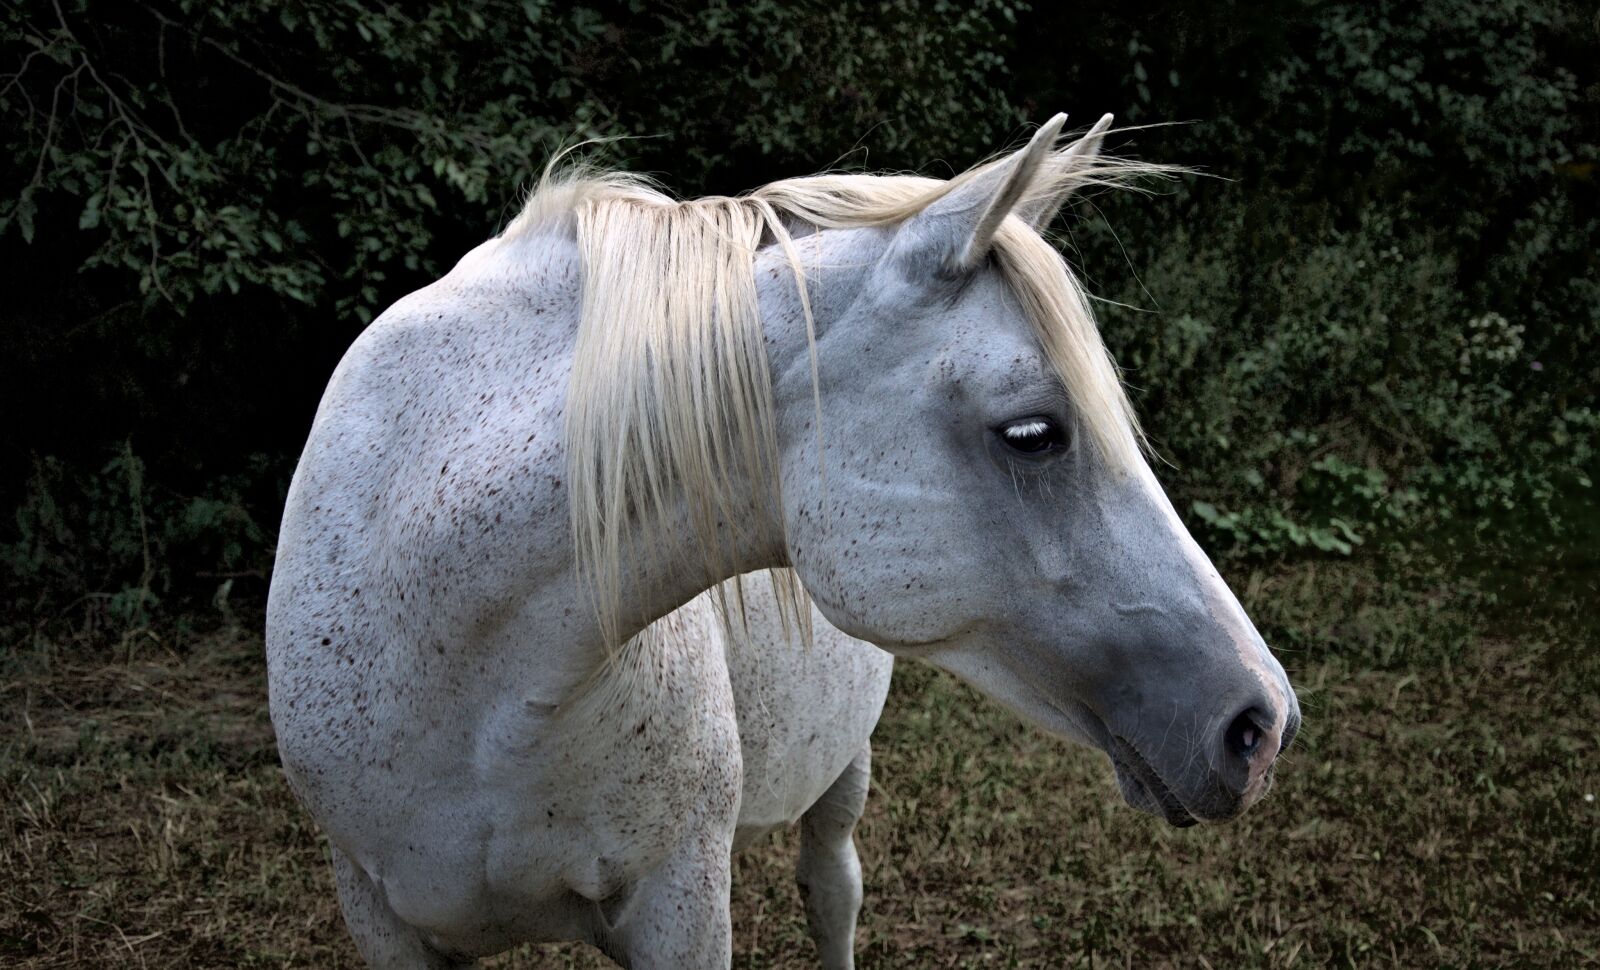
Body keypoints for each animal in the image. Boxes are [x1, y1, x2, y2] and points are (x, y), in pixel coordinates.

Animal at [266, 112, 1301, 969]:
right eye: (1034, 433)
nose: (1262, 724)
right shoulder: (380, 917)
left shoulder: (680, 906)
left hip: (842, 770)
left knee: (831, 890)